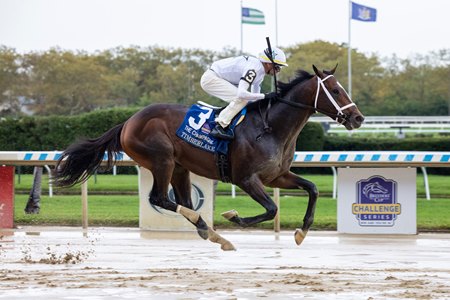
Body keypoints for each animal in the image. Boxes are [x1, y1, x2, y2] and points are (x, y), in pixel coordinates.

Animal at [54, 65, 364, 251]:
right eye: (335, 90)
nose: (358, 118)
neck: (271, 127)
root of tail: (128, 122)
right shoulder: (246, 179)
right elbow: (271, 209)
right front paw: (233, 216)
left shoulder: (276, 175)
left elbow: (311, 189)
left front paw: (302, 230)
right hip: (162, 159)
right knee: (160, 198)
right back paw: (208, 227)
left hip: (180, 168)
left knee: (181, 200)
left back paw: (212, 233)